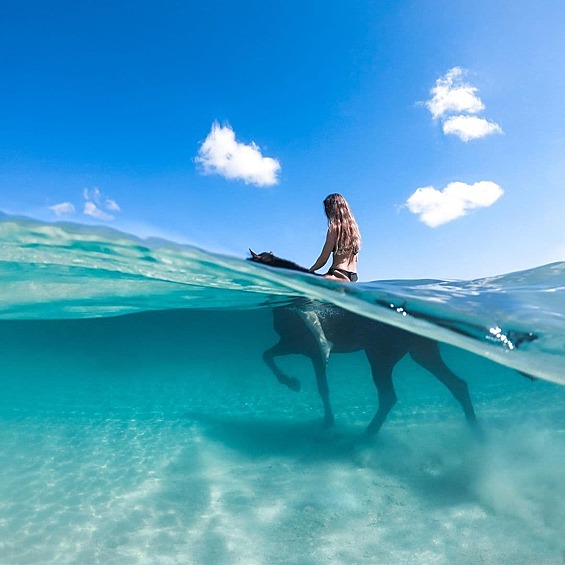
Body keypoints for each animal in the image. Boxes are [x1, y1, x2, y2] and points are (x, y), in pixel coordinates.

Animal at [247, 249, 476, 434]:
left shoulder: (310, 352)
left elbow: (322, 388)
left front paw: (325, 417)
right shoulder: (293, 346)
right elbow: (267, 356)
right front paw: (292, 383)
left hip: (380, 358)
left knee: (388, 397)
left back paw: (366, 437)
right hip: (422, 354)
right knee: (458, 385)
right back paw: (477, 433)